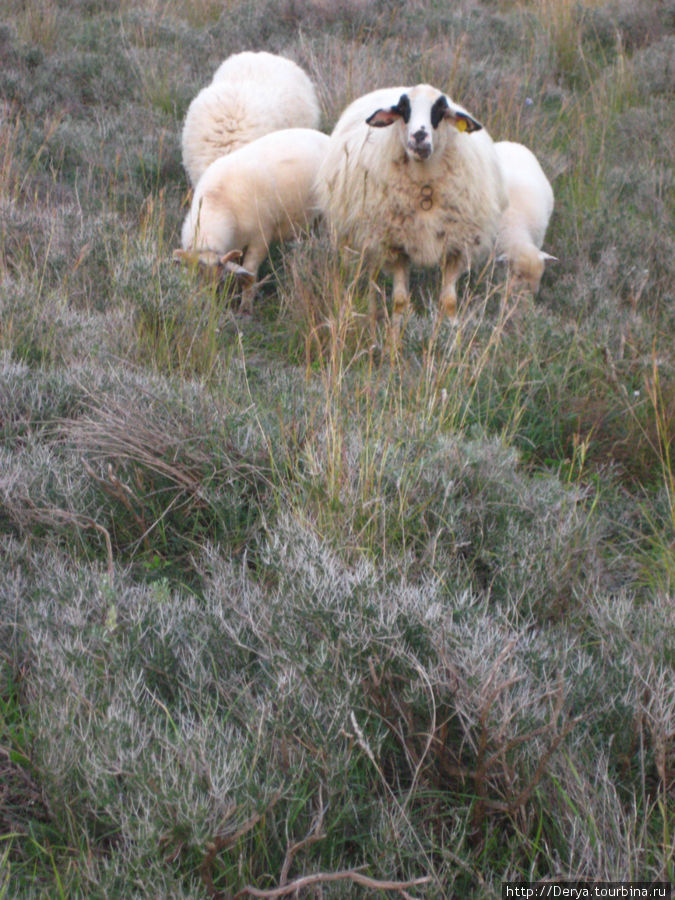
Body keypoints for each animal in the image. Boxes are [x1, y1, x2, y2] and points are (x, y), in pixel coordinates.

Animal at [174, 125, 330, 312]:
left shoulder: (261, 237)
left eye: (221, 280)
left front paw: (245, 308)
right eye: (196, 279)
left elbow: (249, 274)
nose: (208, 306)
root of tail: (326, 137)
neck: (217, 202)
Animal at [316, 81, 508, 330]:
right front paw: (396, 335)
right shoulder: (394, 246)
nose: (419, 136)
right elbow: (399, 300)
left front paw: (452, 333)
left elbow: (449, 301)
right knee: (369, 280)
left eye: (440, 110)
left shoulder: (456, 247)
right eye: (403, 109)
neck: (425, 184)